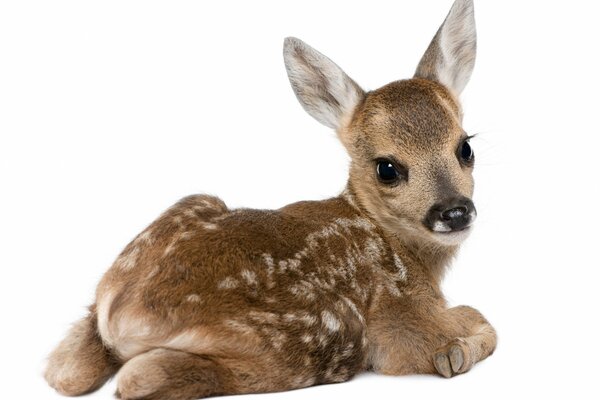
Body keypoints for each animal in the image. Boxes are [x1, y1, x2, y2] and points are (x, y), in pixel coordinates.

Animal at [45, 1, 496, 398]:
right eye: (387, 168)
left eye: (466, 147)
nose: (455, 211)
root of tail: (123, 315)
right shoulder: (397, 321)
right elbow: (480, 323)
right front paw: (455, 354)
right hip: (310, 339)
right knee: (141, 376)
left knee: (63, 371)